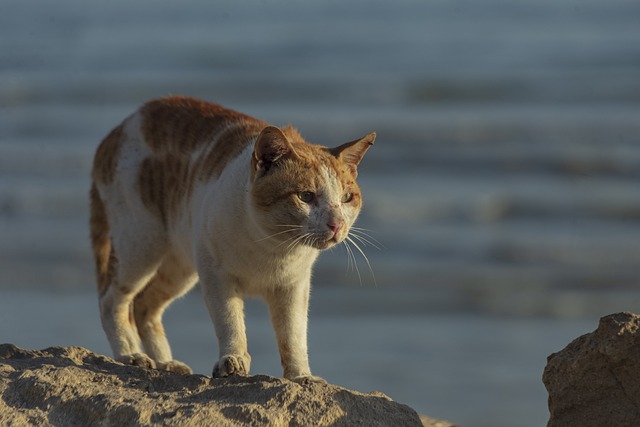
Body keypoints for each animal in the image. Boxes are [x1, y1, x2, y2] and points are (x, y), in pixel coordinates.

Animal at [87, 97, 372, 384]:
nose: (336, 224)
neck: (273, 247)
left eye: (346, 198)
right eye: (305, 196)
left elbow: (293, 336)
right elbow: (230, 323)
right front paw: (233, 360)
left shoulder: (294, 287)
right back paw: (129, 355)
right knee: (111, 301)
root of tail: (118, 130)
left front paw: (300, 376)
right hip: (140, 247)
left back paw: (165, 362)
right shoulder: (217, 276)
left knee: (144, 306)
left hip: (178, 268)